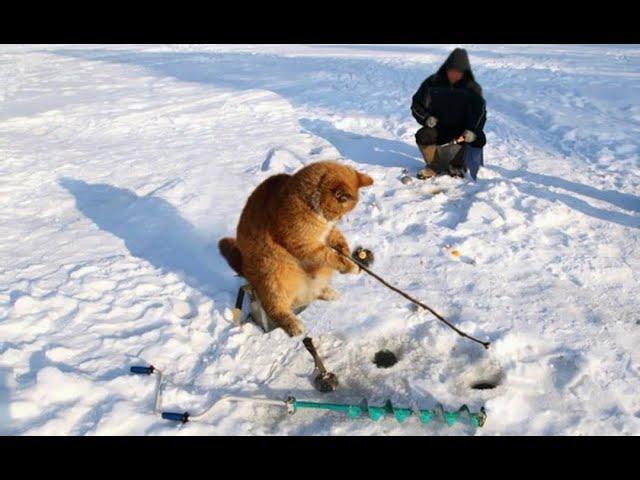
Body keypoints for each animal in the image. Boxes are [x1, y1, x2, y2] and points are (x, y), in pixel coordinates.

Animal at [219, 160, 372, 334]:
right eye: (339, 211)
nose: (339, 219)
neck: (307, 202)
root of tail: (244, 269)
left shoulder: (327, 234)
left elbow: (337, 238)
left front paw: (346, 250)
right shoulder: (305, 246)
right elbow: (331, 256)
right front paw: (349, 265)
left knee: (313, 290)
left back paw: (327, 292)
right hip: (274, 275)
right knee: (274, 308)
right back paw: (293, 324)